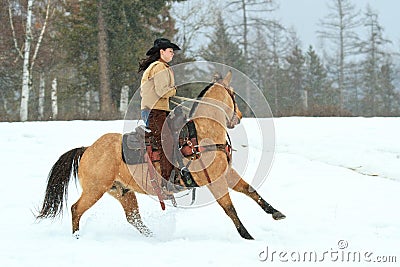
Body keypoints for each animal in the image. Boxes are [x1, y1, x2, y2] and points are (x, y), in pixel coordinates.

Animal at [35, 71, 284, 241]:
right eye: (233, 95)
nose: (239, 117)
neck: (203, 133)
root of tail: (87, 148)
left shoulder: (226, 173)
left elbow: (249, 189)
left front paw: (276, 213)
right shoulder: (214, 180)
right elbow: (229, 207)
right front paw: (247, 236)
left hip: (122, 192)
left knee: (133, 218)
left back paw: (154, 237)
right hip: (95, 189)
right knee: (76, 209)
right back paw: (77, 238)